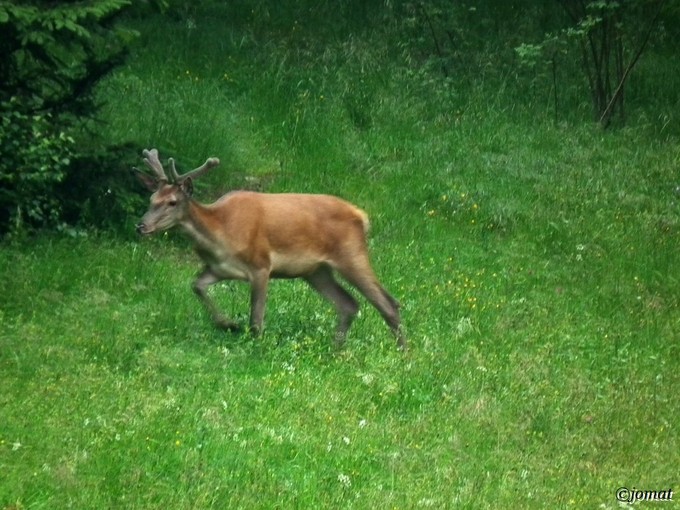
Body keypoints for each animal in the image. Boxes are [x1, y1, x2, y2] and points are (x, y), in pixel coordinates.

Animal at [135, 148, 406, 350]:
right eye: (151, 200)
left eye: (172, 202)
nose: (141, 225)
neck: (220, 233)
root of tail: (362, 216)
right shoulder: (218, 268)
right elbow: (197, 286)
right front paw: (228, 324)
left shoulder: (260, 264)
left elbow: (256, 319)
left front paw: (256, 347)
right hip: (315, 271)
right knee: (349, 304)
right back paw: (336, 349)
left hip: (351, 253)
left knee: (388, 303)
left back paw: (403, 353)